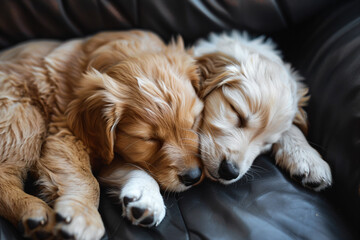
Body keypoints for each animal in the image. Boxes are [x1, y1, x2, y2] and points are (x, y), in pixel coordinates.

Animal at [0, 31, 202, 239]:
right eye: (148, 139)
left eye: (194, 122)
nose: (193, 177)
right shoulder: (66, 135)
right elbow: (87, 180)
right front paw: (83, 216)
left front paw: (146, 197)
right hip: (24, 115)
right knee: (4, 175)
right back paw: (34, 211)